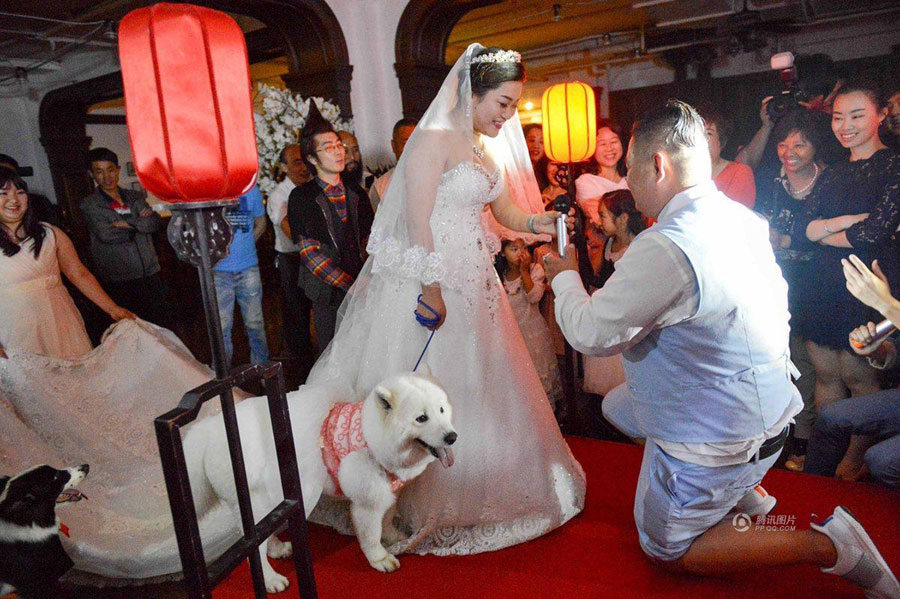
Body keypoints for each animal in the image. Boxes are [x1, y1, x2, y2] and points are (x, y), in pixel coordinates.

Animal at [181, 372, 458, 592]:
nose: (452, 436)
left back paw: (277, 549)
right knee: (254, 552)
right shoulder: (366, 499)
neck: (371, 437)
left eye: (442, 411)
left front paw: (393, 537)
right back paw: (271, 580)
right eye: (421, 418)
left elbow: (387, 519)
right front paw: (379, 558)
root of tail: (209, 428)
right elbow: (371, 533)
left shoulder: (388, 491)